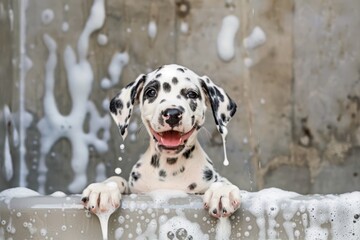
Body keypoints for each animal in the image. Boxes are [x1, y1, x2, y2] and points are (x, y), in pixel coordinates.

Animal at [81, 64, 239, 218]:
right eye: (151, 92)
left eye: (192, 94)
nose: (172, 114)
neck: (170, 168)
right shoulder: (136, 190)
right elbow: (118, 179)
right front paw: (103, 189)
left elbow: (222, 182)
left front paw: (222, 192)